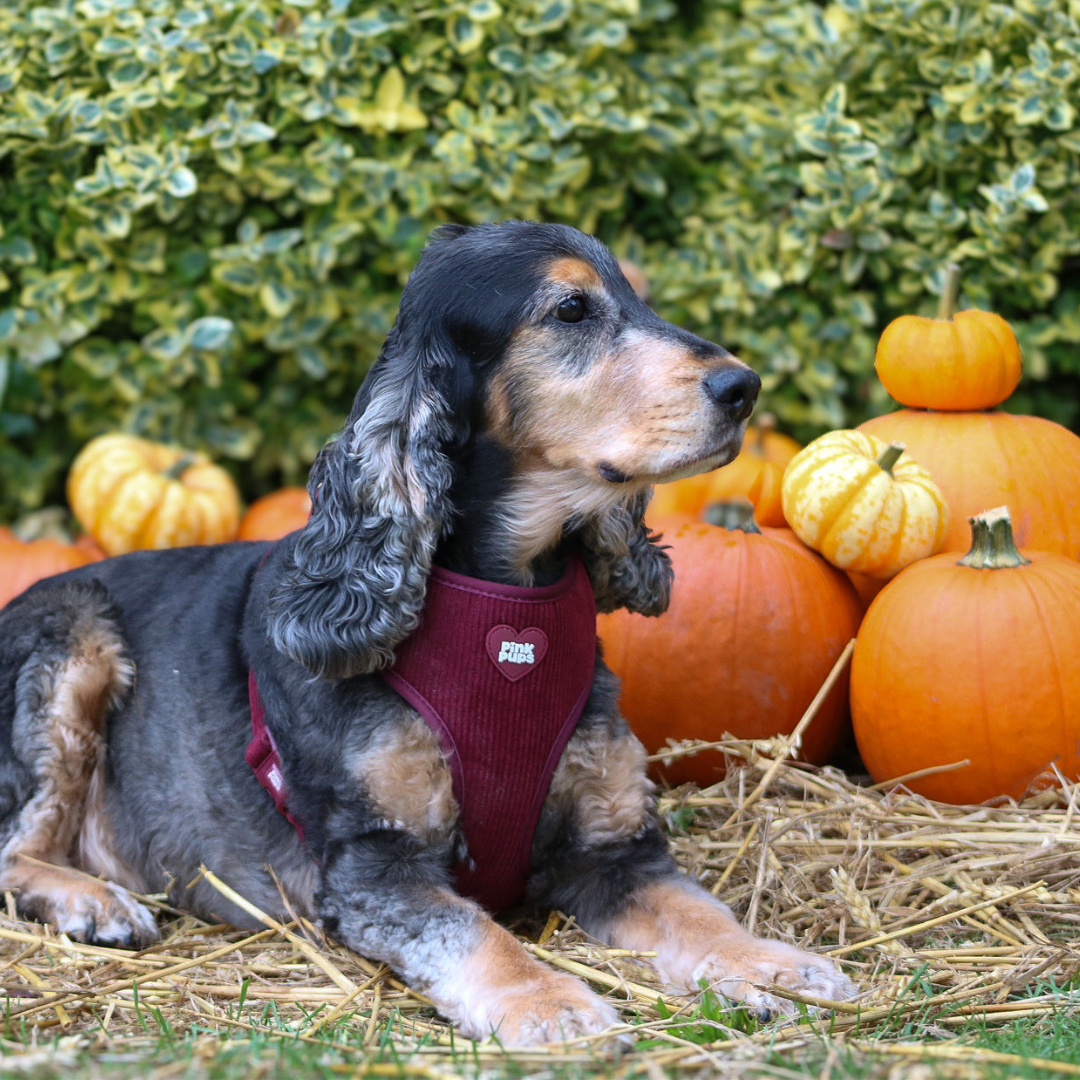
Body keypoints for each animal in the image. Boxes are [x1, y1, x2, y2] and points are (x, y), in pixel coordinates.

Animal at [0, 221, 851, 1045]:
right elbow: (474, 933)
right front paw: (552, 1006)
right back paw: (94, 903)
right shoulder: (377, 864)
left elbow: (698, 911)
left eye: (640, 298)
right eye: (572, 310)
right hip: (68, 645)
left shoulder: (614, 850)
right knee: (14, 848)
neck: (506, 610)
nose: (744, 387)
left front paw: (779, 968)